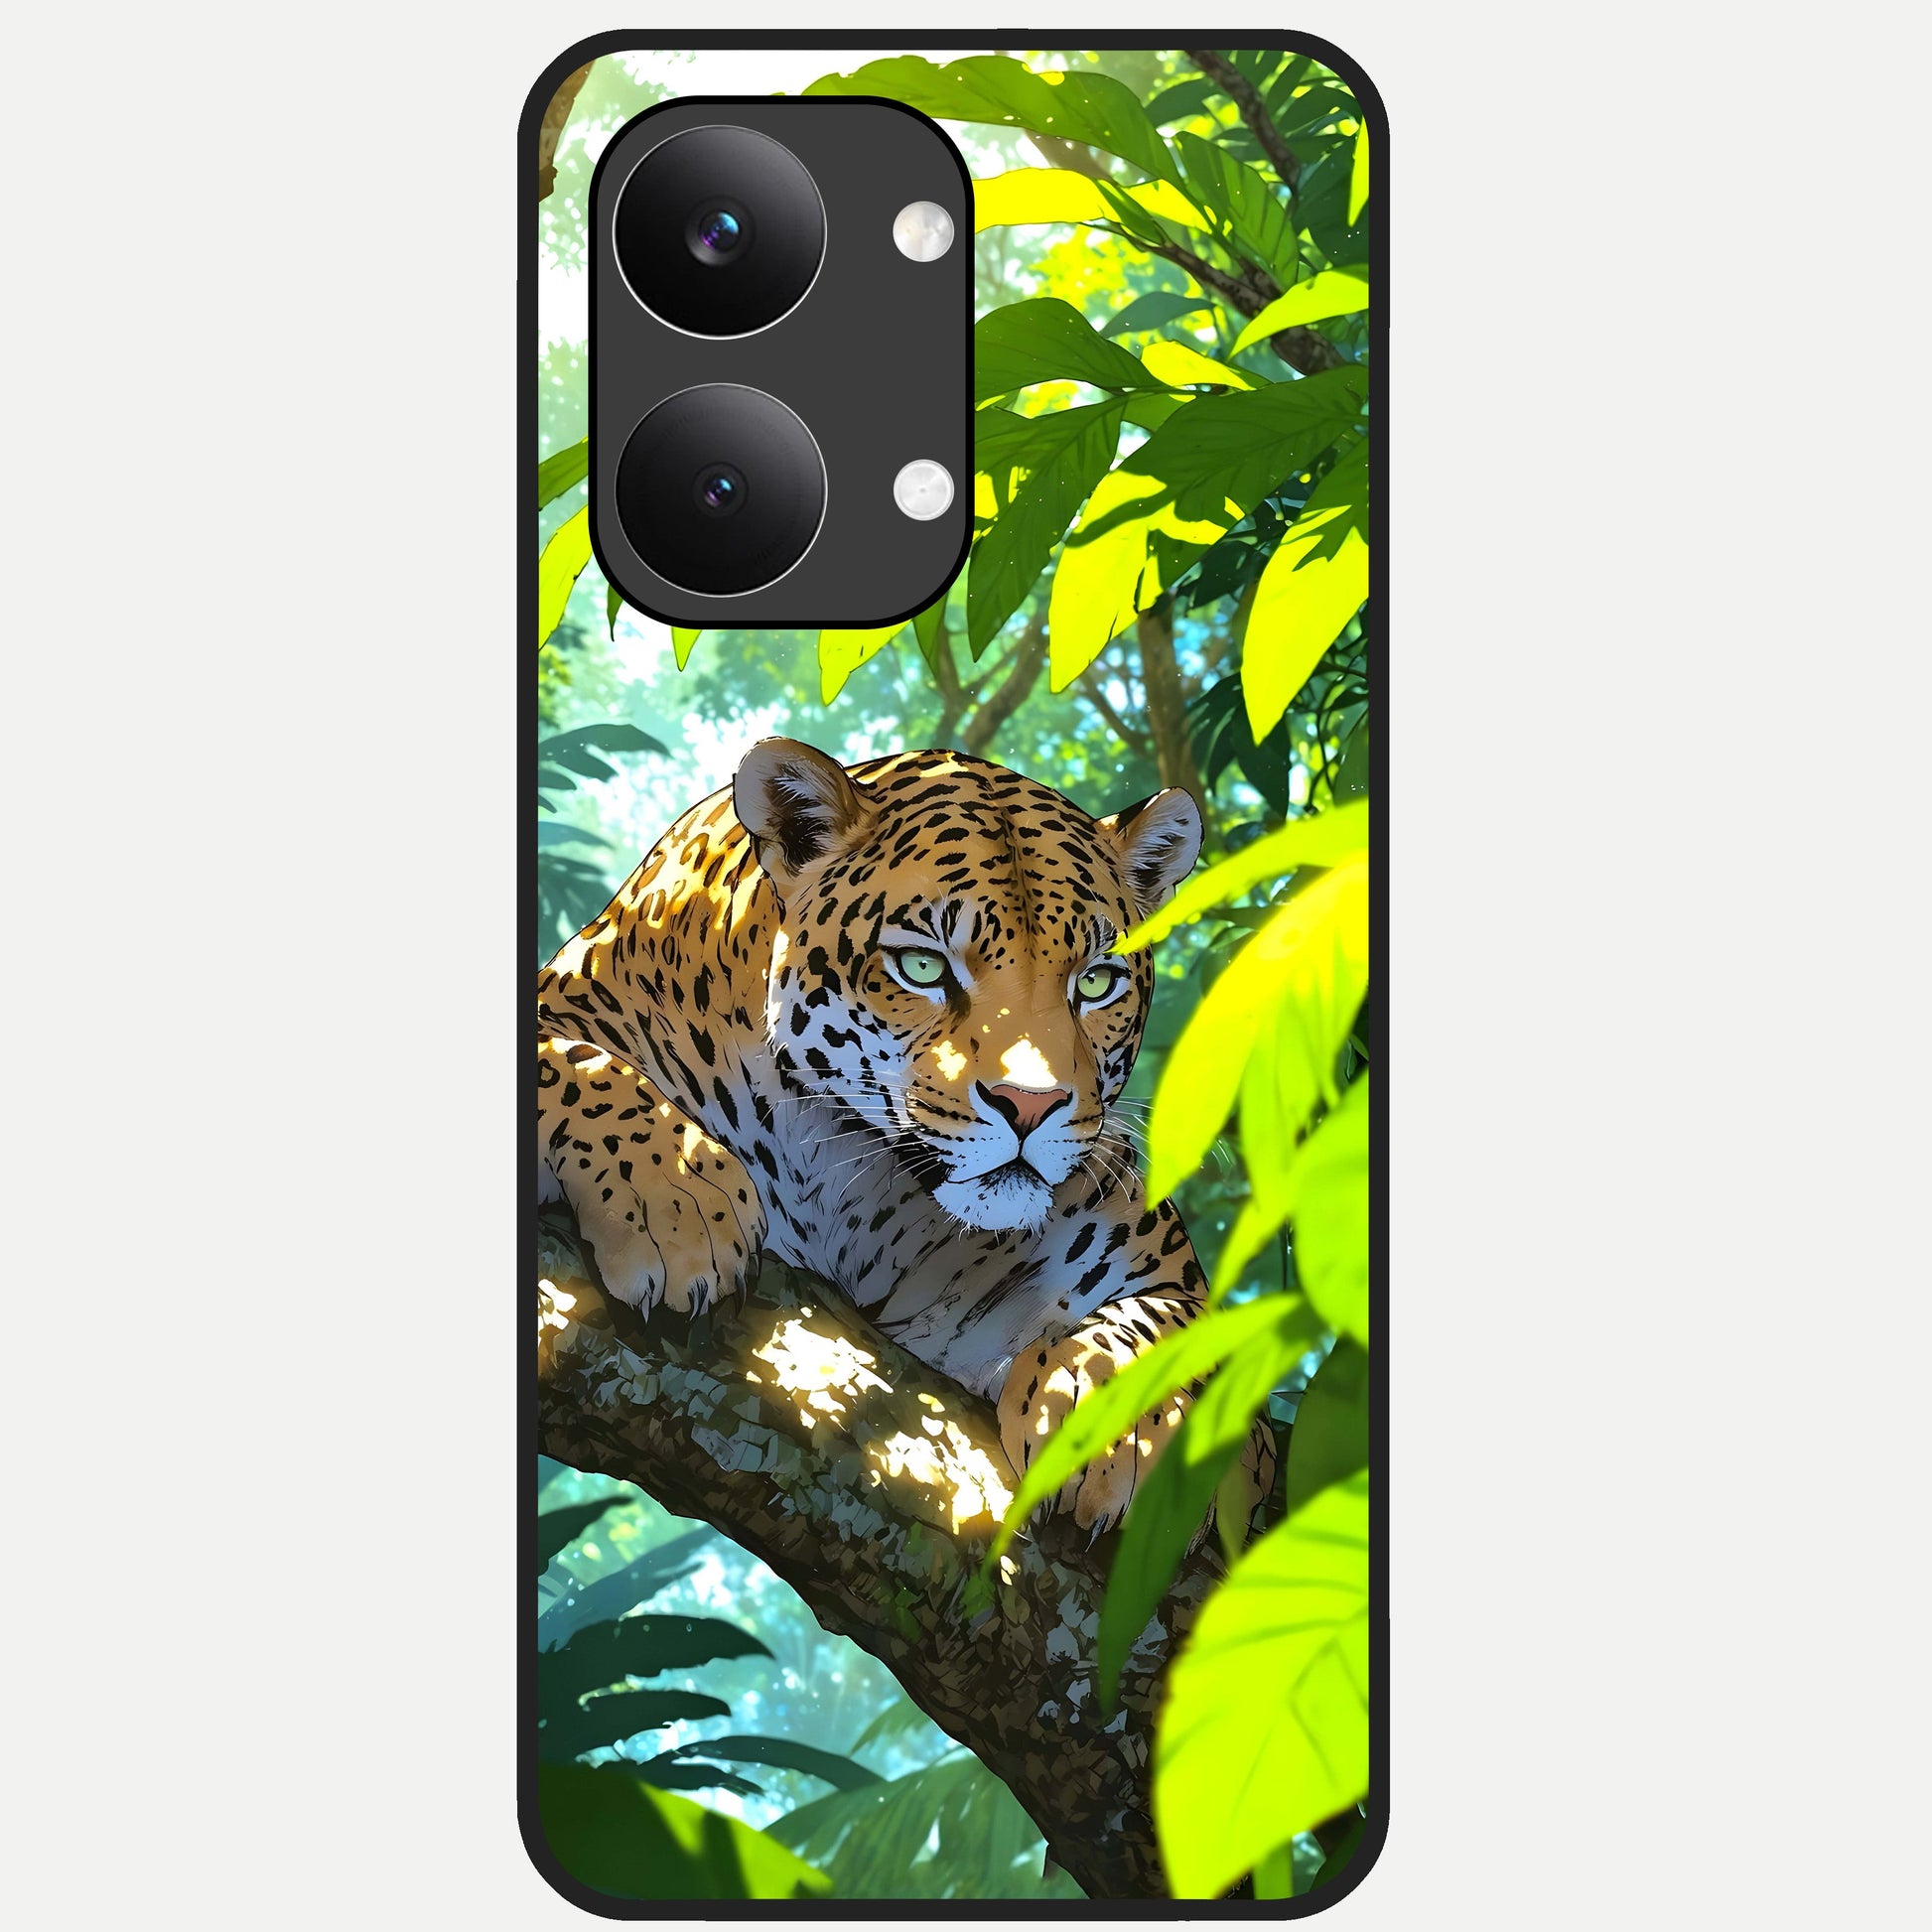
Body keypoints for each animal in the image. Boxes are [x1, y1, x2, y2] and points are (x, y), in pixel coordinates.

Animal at [537, 738, 1274, 1537]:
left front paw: (1116, 1424)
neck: (846, 1180)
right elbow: (570, 1063)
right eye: (923, 967)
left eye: (1095, 982)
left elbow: (1182, 1324)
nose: (1031, 1104)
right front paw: (677, 1200)